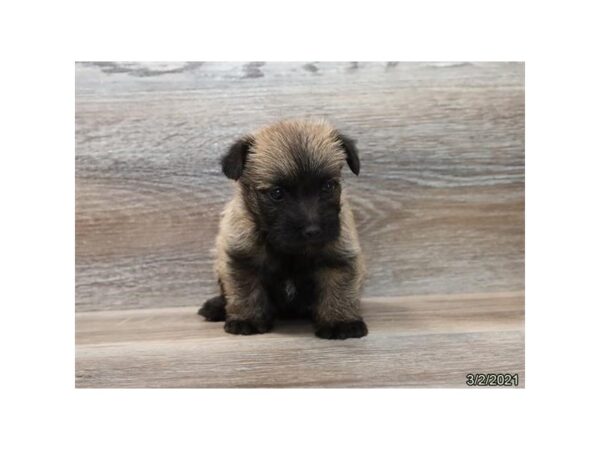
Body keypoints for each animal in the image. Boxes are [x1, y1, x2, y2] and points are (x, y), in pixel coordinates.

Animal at [198, 118, 366, 340]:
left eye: (328, 187)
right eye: (277, 193)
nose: (313, 231)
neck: (290, 252)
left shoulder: (338, 260)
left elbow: (339, 291)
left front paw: (341, 322)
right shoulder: (243, 260)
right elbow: (247, 292)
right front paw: (247, 320)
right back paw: (216, 307)